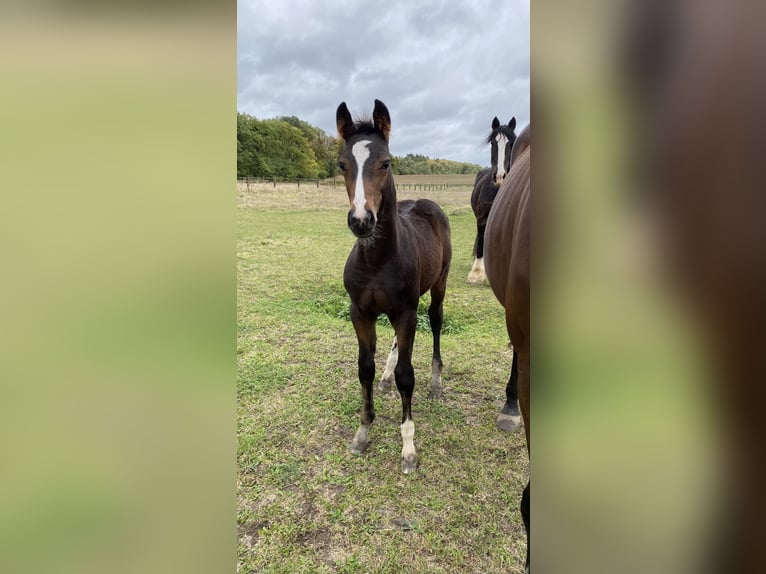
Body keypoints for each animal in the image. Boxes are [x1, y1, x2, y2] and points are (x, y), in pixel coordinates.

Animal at [338, 100, 456, 476]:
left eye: (386, 162)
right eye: (342, 164)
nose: (361, 221)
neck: (377, 260)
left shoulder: (405, 311)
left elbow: (408, 375)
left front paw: (408, 448)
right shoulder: (361, 311)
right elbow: (364, 367)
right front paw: (362, 432)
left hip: (438, 285)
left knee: (435, 321)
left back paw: (435, 381)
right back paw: (386, 377)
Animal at [464, 116, 520, 286]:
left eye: (511, 143)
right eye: (493, 143)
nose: (500, 176)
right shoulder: (482, 218)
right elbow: (481, 241)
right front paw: (476, 274)